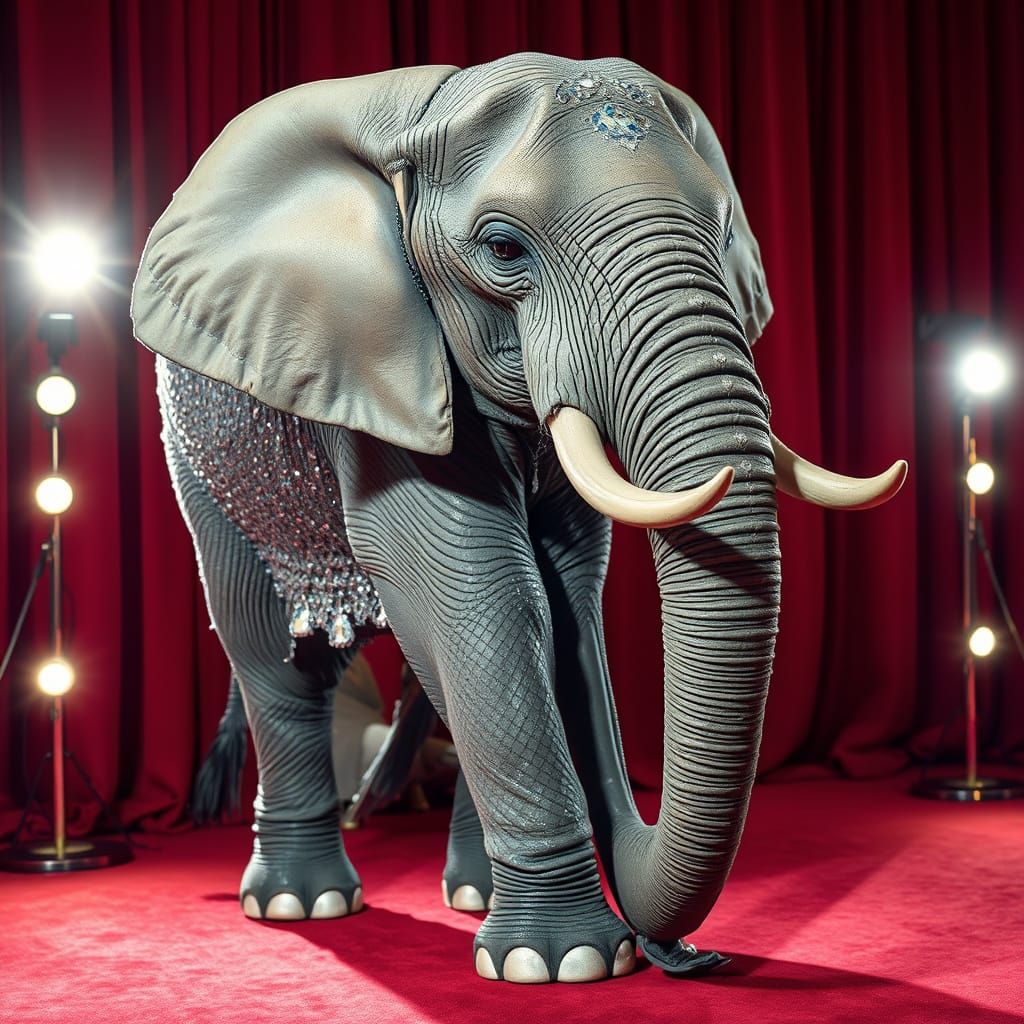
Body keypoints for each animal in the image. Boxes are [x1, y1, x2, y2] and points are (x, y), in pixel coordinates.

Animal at [131, 52, 906, 984]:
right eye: (503, 248)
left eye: (724, 230)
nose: (688, 956)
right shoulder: (380, 355)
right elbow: (477, 585)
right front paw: (565, 962)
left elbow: (560, 591)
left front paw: (550, 948)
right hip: (203, 446)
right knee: (272, 656)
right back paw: (300, 905)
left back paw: (467, 894)